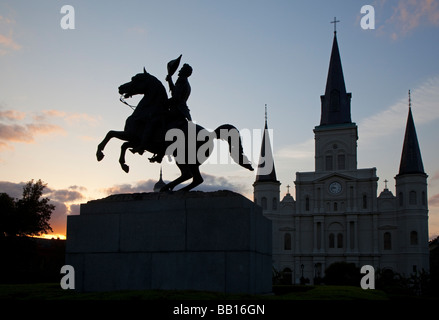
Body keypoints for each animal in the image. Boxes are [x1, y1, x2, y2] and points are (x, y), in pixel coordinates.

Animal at [96, 68, 254, 191]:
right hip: (186, 158)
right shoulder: (134, 139)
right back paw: (171, 188)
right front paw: (119, 162)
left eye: (135, 79)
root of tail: (210, 134)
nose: (120, 88)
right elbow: (118, 140)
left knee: (192, 176)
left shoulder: (134, 136)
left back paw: (173, 189)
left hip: (185, 156)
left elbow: (114, 137)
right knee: (192, 176)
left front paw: (104, 156)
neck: (145, 110)